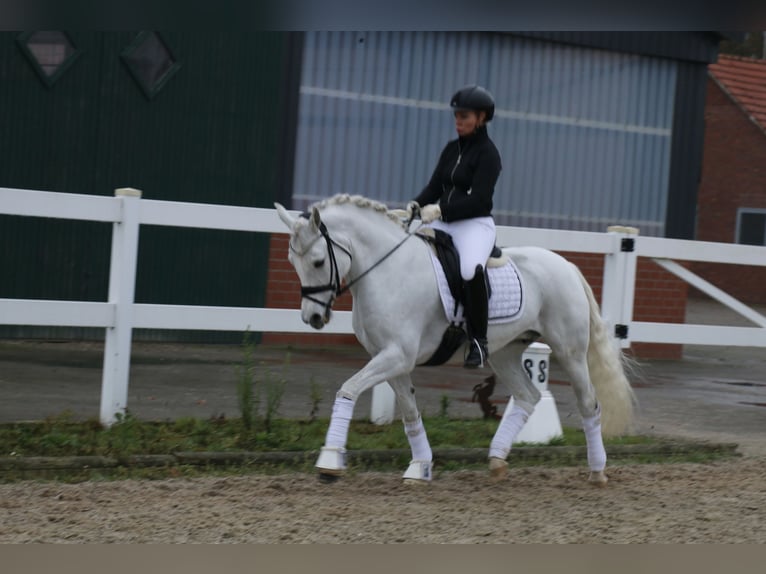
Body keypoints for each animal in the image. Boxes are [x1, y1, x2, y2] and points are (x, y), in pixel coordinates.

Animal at [276, 194, 636, 486]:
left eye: (318, 261)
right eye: (293, 262)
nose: (313, 318)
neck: (389, 270)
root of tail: (567, 265)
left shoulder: (397, 355)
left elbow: (347, 390)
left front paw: (329, 462)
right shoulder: (390, 359)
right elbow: (409, 412)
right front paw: (420, 468)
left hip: (570, 351)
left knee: (588, 403)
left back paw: (597, 472)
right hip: (504, 354)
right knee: (528, 396)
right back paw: (496, 461)